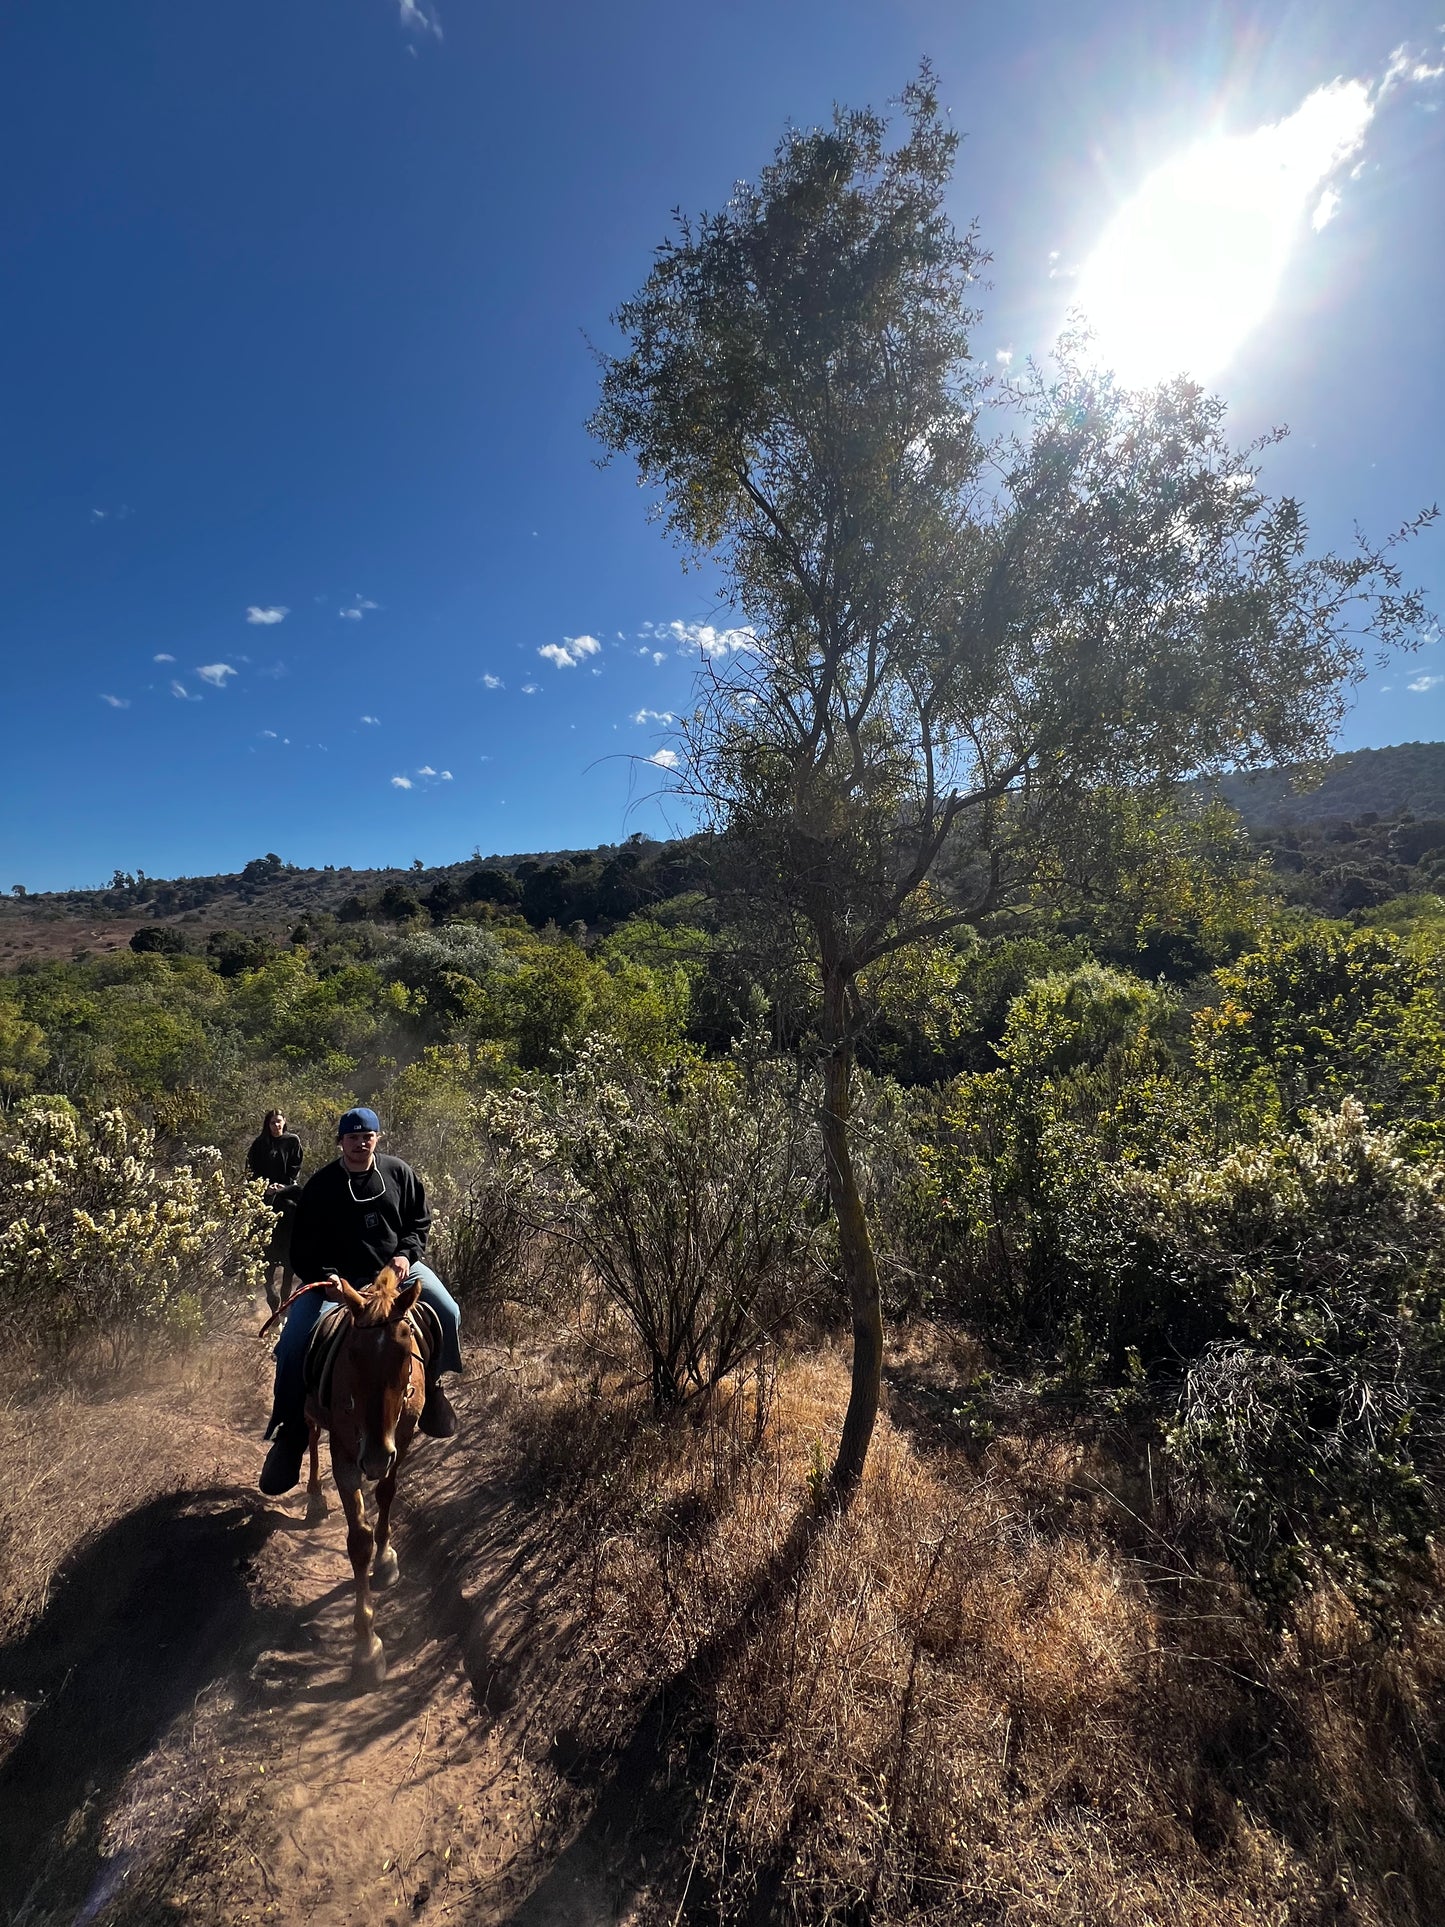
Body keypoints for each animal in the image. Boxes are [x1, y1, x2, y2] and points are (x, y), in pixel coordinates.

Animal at [300, 1264, 423, 1688]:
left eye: (404, 1353)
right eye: (352, 1354)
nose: (374, 1458)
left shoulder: (402, 1438)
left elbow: (386, 1494)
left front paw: (386, 1559)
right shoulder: (345, 1453)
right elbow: (358, 1541)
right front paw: (367, 1648)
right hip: (313, 1416)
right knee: (310, 1434)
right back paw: (314, 1498)